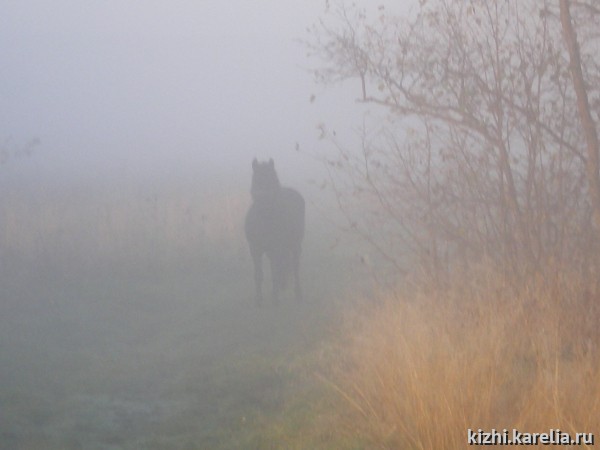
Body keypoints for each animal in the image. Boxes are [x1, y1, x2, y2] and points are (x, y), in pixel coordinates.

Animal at [244, 158, 304, 306]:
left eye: (271, 179)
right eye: (256, 179)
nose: (261, 197)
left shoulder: (275, 248)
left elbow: (275, 272)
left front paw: (275, 299)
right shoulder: (255, 249)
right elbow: (258, 274)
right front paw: (259, 300)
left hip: (295, 245)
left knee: (294, 267)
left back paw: (298, 293)